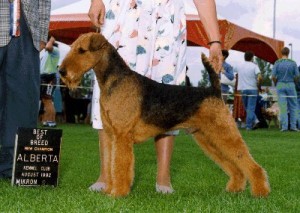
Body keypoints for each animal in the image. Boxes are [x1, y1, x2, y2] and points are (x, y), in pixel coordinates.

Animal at [59, 32, 270, 197]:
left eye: (81, 50)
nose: (61, 71)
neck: (114, 80)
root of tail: (214, 90)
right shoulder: (112, 135)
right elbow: (111, 164)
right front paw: (109, 190)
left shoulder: (122, 136)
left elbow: (120, 166)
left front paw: (117, 193)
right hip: (207, 138)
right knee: (235, 165)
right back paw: (235, 188)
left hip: (222, 132)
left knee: (249, 163)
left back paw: (260, 192)